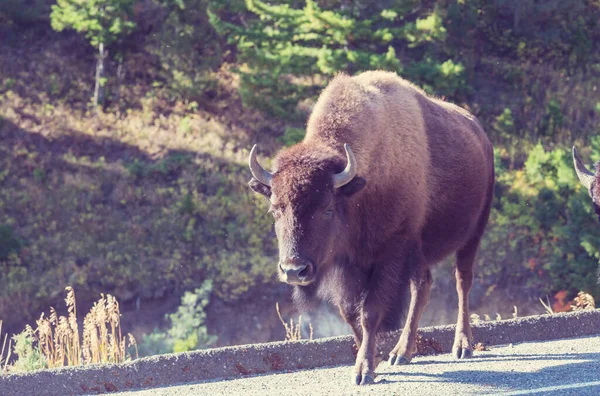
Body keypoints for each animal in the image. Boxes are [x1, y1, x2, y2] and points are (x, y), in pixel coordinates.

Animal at [246, 69, 494, 386]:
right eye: (275, 208)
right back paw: (402, 352)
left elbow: (370, 313)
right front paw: (373, 359)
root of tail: (481, 135)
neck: (360, 186)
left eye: (327, 208)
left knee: (462, 281)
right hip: (420, 252)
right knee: (422, 287)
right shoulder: (349, 265)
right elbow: (350, 314)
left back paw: (462, 345)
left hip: (473, 233)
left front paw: (364, 371)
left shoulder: (389, 256)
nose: (293, 270)